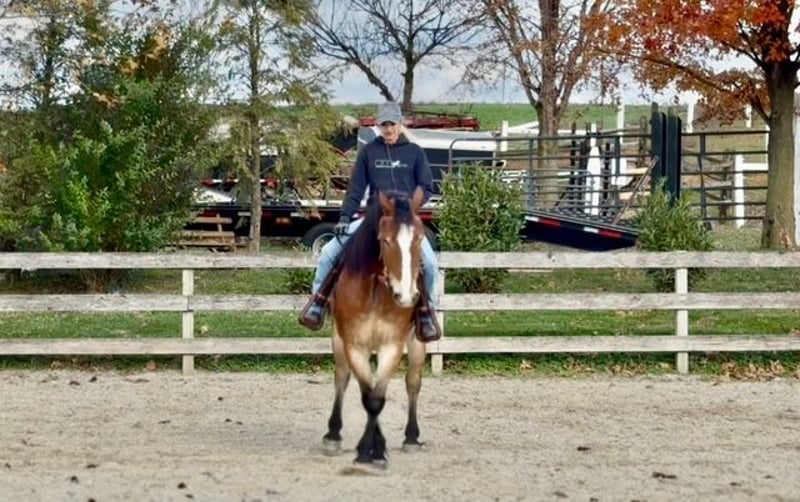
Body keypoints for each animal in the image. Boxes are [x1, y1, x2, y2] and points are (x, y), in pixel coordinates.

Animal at [322, 186, 429, 470]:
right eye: (386, 240)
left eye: (419, 238)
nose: (406, 295)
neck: (375, 293)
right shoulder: (354, 344)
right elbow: (367, 395)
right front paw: (368, 449)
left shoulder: (392, 346)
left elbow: (377, 397)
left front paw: (376, 450)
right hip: (339, 341)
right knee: (342, 378)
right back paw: (333, 435)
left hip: (417, 343)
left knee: (413, 382)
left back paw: (412, 438)